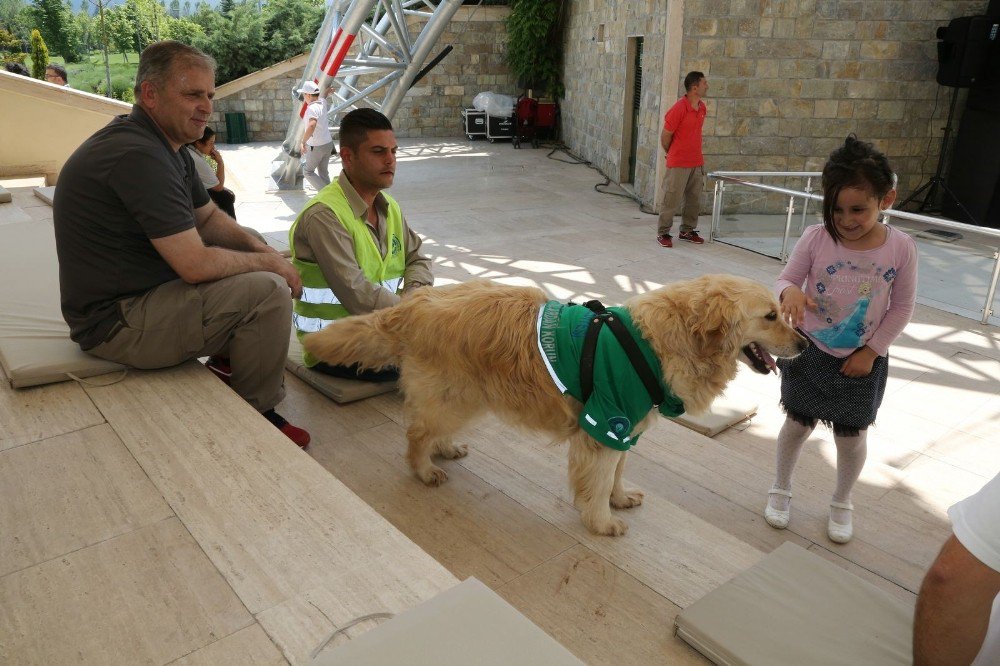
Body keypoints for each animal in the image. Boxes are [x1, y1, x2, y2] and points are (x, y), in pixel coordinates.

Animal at [304, 272, 804, 532]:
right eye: (770, 316)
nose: (804, 344)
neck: (661, 341)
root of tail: (416, 301)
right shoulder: (604, 425)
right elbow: (597, 482)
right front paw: (602, 521)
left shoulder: (626, 430)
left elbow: (617, 474)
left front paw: (620, 499)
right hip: (452, 396)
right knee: (416, 432)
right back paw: (424, 468)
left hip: (465, 396)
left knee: (431, 428)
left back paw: (445, 449)